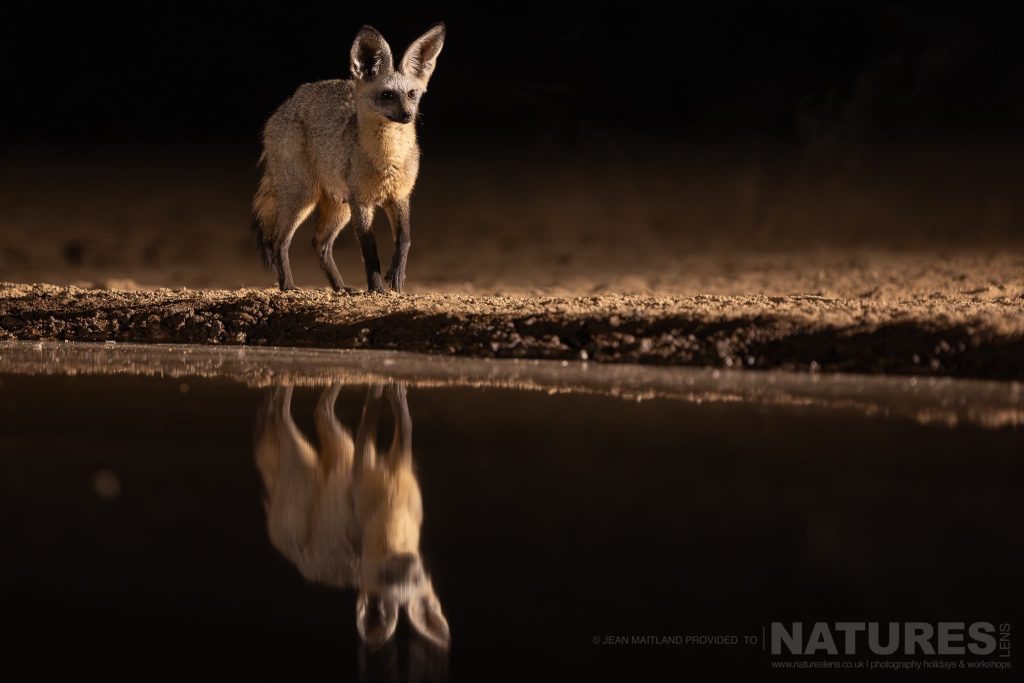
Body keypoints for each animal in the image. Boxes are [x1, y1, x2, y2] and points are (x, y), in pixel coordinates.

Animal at [251, 23, 446, 293]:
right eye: (387, 95)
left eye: (412, 94)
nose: (408, 115)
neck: (387, 162)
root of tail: (284, 107)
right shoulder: (361, 202)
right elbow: (370, 250)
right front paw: (376, 288)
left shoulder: (399, 196)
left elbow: (404, 240)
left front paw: (396, 279)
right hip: (303, 197)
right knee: (279, 241)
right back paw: (288, 286)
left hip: (338, 207)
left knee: (320, 244)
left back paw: (340, 288)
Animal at [254, 382, 450, 649]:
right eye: (387, 578)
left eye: (417, 578)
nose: (408, 564)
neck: (391, 507)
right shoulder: (363, 466)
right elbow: (375, 419)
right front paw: (385, 390)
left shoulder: (398, 462)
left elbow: (403, 426)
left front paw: (389, 391)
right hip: (306, 462)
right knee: (283, 413)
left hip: (339, 446)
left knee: (321, 410)